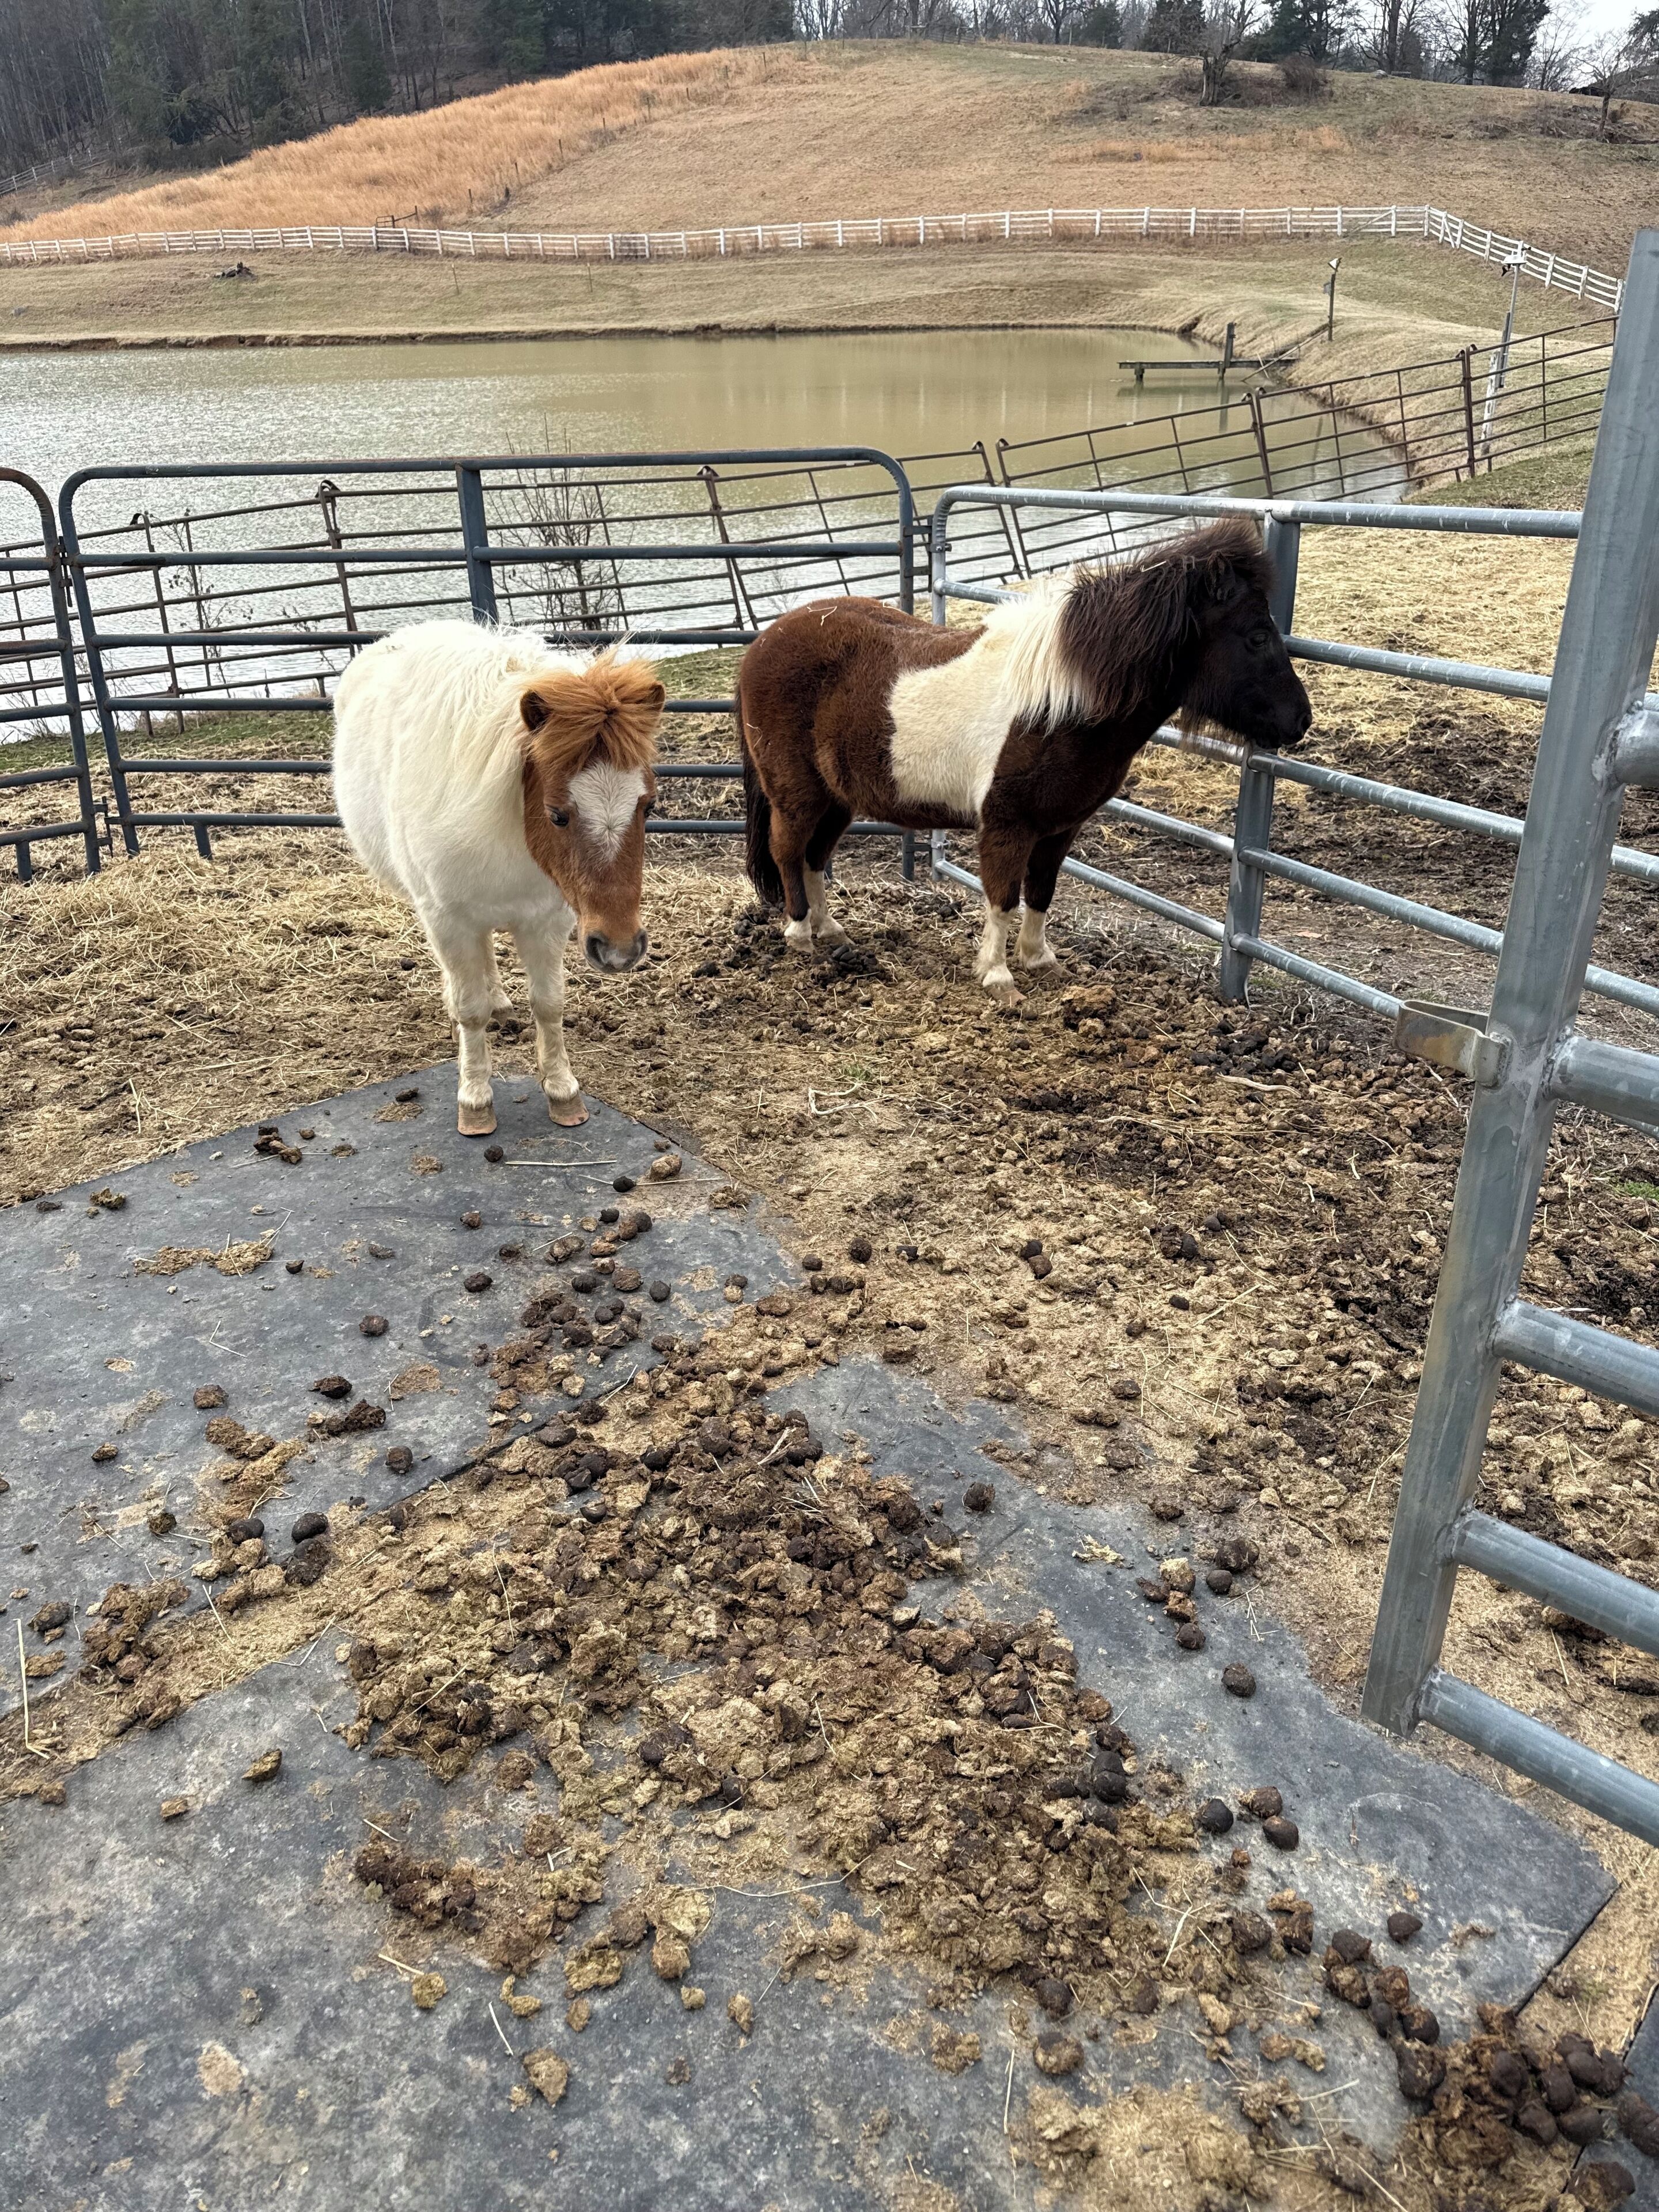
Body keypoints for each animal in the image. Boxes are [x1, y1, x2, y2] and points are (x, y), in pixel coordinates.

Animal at [333, 619, 664, 1136]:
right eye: (557, 815)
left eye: (647, 806)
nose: (620, 950)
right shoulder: (449, 919)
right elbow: (471, 1010)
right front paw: (474, 1100)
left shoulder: (548, 921)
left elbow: (549, 1003)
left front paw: (563, 1092)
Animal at [736, 519, 1312, 1001]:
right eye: (1257, 636)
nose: (1300, 721)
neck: (1061, 704)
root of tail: (763, 642)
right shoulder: (1007, 825)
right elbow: (1002, 898)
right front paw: (999, 978)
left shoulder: (1060, 827)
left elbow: (1040, 892)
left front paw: (1040, 961)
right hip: (796, 793)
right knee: (788, 851)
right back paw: (799, 934)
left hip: (838, 797)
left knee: (814, 857)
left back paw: (832, 932)